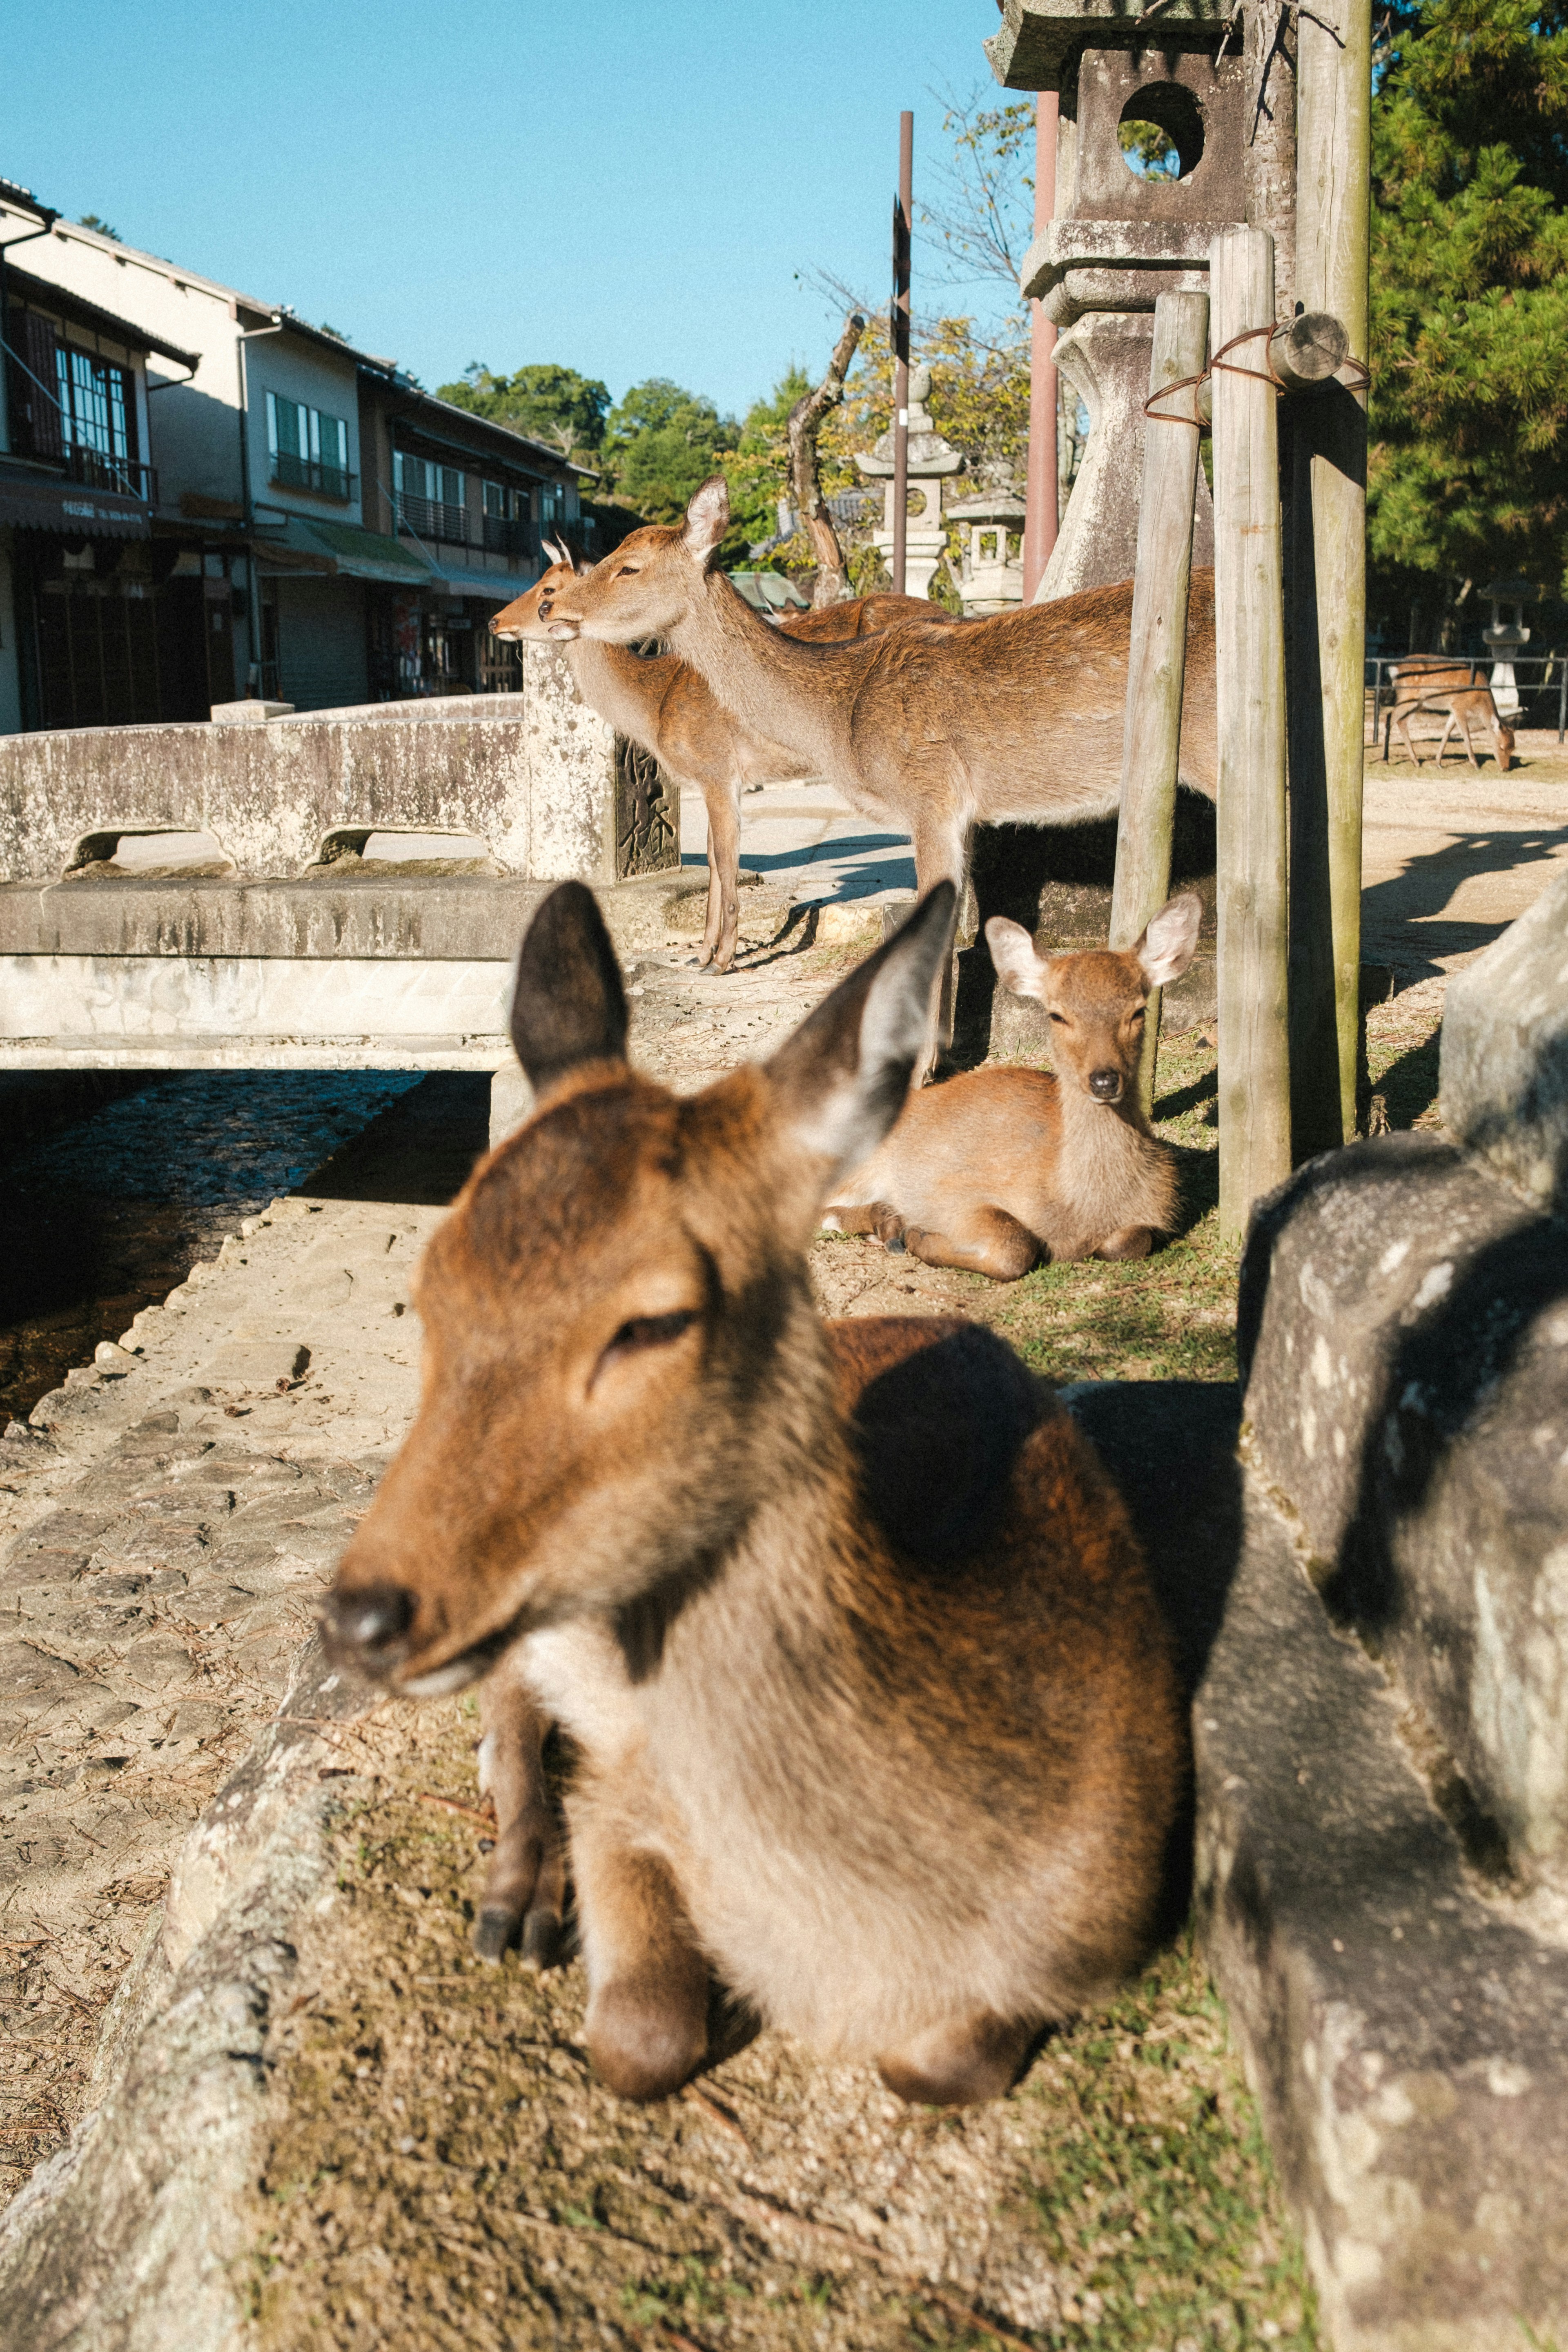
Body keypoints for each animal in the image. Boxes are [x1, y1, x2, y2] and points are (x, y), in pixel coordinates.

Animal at [324, 884, 1185, 2117]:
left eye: (652, 1317)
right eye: (427, 1289)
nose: (360, 1615)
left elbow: (935, 2063)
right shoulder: (627, 1797)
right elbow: (637, 2037)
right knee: (510, 1714)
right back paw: (517, 1895)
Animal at [491, 541, 959, 964]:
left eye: (550, 588)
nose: (496, 621)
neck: (654, 706)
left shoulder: (715, 767)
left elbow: (723, 857)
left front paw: (722, 958)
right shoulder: (719, 779)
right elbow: (716, 858)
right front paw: (700, 955)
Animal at [1392, 654, 1514, 771]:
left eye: (1513, 748)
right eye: (1502, 747)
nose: (1506, 769)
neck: (1478, 703)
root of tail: (1395, 670)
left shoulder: (1453, 709)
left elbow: (1448, 731)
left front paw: (1439, 763)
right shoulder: (1459, 705)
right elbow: (1466, 733)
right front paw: (1475, 765)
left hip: (1418, 703)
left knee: (1401, 721)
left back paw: (1416, 762)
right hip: (1408, 696)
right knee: (1391, 717)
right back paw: (1389, 759)